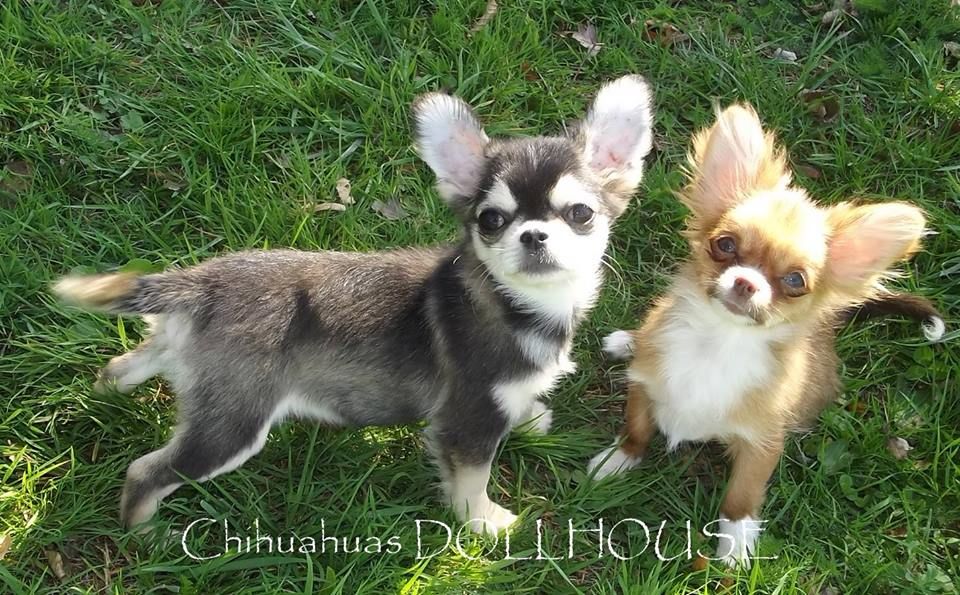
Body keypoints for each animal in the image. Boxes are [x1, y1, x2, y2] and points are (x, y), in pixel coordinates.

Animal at [54, 75, 655, 535]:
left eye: (580, 213)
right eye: (491, 220)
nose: (532, 236)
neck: (517, 304)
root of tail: (204, 283)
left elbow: (521, 403)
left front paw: (530, 415)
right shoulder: (466, 423)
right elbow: (470, 478)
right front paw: (482, 522)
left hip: (177, 360)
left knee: (123, 366)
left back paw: (105, 393)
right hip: (231, 427)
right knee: (148, 471)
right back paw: (144, 532)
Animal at [587, 103, 943, 565]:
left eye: (794, 280)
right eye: (724, 244)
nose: (745, 282)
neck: (717, 345)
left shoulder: (761, 444)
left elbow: (741, 496)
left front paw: (736, 545)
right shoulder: (644, 387)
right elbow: (637, 430)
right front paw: (617, 460)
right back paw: (626, 341)